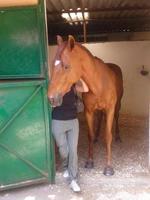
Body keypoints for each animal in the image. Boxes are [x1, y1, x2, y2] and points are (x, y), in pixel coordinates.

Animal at [48, 35, 123, 176]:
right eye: (52, 64)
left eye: (66, 66)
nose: (51, 98)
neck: (98, 83)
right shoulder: (89, 111)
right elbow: (90, 135)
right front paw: (89, 161)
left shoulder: (110, 109)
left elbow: (108, 135)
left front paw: (108, 167)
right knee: (100, 118)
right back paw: (97, 136)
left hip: (118, 105)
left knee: (116, 117)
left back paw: (118, 136)